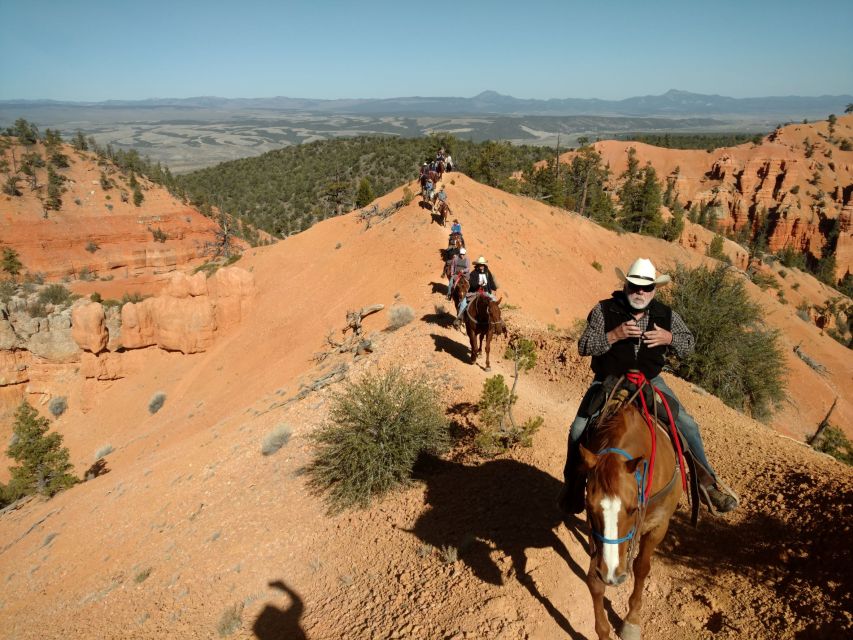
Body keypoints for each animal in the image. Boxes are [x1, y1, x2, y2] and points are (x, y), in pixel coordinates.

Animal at [576, 400, 684, 640]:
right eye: (589, 507)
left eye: (634, 509)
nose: (612, 574)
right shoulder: (594, 533)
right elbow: (594, 580)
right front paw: (603, 632)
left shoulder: (658, 527)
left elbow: (641, 567)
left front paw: (632, 621)